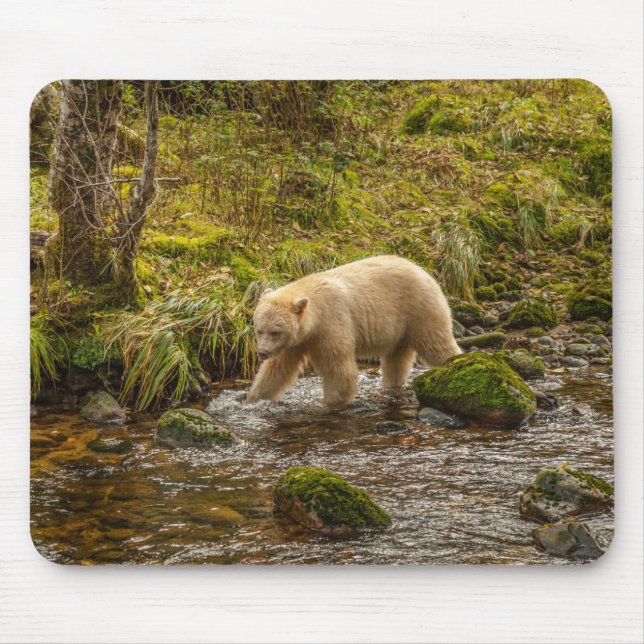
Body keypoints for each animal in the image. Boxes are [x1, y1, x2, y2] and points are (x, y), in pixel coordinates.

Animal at [245, 255, 461, 409]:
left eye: (275, 332)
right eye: (259, 330)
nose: (262, 352)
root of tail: (424, 271)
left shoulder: (331, 325)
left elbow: (339, 370)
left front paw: (328, 404)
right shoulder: (297, 341)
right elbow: (277, 370)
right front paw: (252, 400)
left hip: (420, 309)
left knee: (436, 344)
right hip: (400, 329)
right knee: (396, 360)